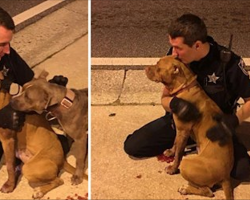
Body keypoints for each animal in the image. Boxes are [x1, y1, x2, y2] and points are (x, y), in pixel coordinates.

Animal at [124, 13, 250, 180]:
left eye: (158, 67)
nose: (145, 68)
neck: (184, 88)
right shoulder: (179, 129)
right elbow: (175, 143)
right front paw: (170, 151)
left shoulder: (183, 130)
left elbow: (179, 153)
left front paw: (173, 168)